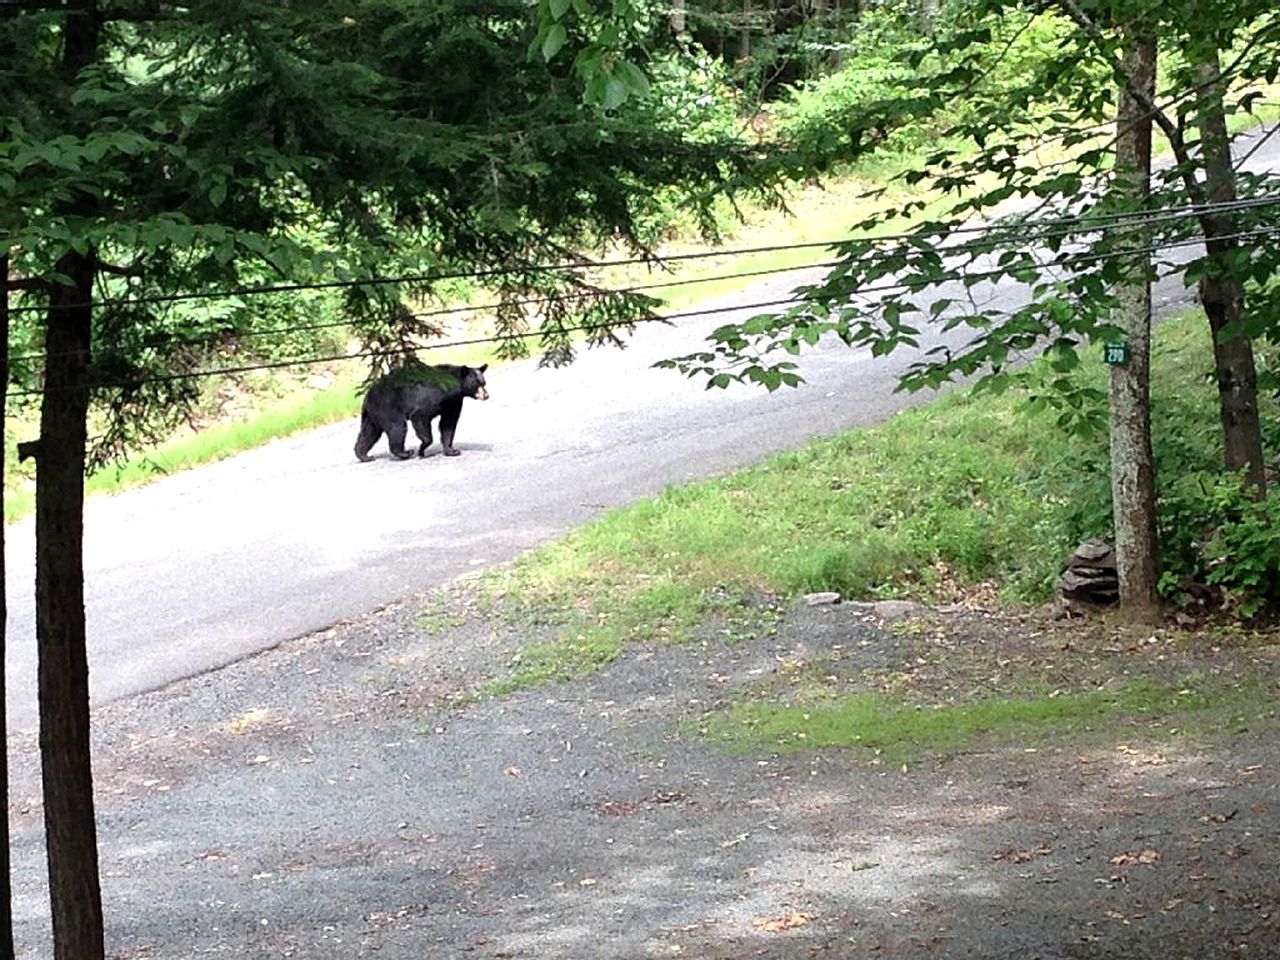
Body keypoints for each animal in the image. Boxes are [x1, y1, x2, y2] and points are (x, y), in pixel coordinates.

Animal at [355, 363, 488, 463]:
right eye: (476, 384)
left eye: (484, 383)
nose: (486, 395)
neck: (452, 388)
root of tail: (368, 396)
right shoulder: (432, 396)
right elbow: (420, 416)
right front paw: (422, 449)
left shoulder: (453, 402)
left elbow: (448, 423)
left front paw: (452, 450)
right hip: (388, 406)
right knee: (397, 427)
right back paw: (405, 453)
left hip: (373, 414)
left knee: (369, 433)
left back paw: (364, 455)